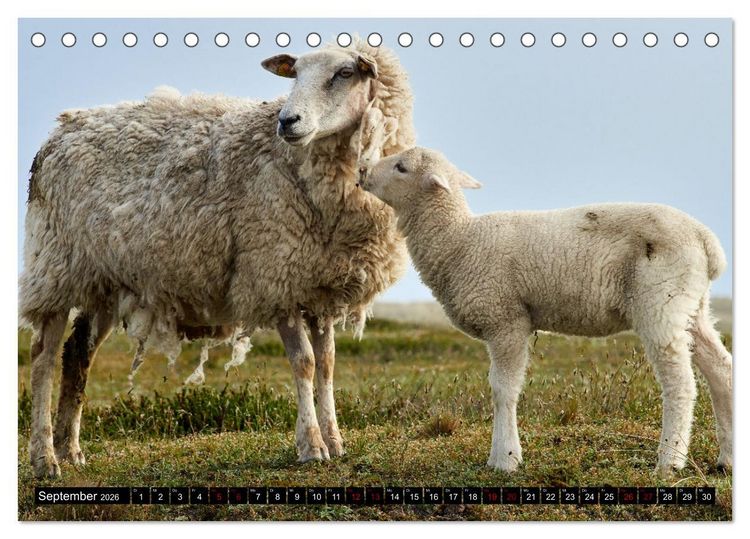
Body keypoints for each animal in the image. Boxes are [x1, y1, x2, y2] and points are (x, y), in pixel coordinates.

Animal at [20, 40, 414, 478]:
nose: (287, 121)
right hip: (54, 266)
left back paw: (70, 451)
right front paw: (311, 446)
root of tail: (59, 132)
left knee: (77, 355)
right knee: (43, 357)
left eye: (344, 74)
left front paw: (335, 440)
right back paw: (45, 458)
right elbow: (305, 363)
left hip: (102, 280)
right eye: (295, 75)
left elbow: (327, 364)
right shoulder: (271, 276)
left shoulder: (316, 286)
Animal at [360, 147, 732, 477]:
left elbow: (503, 390)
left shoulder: (506, 321)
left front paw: (505, 459)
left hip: (660, 301)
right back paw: (726, 458)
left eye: (402, 167)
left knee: (680, 383)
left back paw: (669, 461)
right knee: (720, 368)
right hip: (690, 304)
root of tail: (706, 241)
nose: (362, 171)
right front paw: (503, 455)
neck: (459, 240)